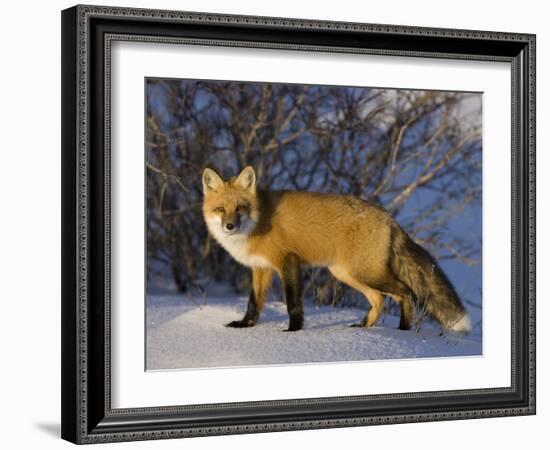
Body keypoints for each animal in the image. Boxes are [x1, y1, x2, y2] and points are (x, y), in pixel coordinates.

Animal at [203, 166, 474, 334]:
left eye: (240, 208)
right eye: (221, 209)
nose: (229, 226)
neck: (258, 222)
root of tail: (389, 218)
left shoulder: (288, 262)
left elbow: (293, 303)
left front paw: (293, 331)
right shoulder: (261, 268)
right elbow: (254, 303)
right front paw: (245, 326)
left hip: (364, 273)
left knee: (405, 293)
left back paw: (403, 331)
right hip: (347, 274)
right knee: (380, 300)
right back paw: (364, 328)